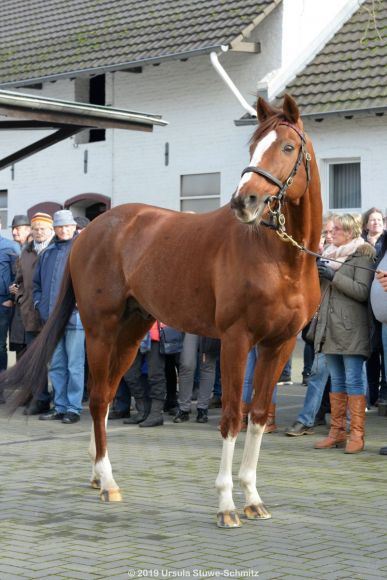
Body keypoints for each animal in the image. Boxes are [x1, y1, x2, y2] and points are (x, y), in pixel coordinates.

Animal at [2, 94, 322, 524]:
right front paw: (226, 504)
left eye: (287, 147)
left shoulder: (280, 344)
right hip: (101, 329)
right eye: (253, 145)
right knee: (99, 399)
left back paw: (97, 474)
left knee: (106, 396)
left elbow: (256, 415)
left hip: (131, 332)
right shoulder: (237, 340)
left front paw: (253, 497)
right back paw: (108, 481)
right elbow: (232, 416)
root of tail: (88, 233)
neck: (280, 257)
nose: (245, 201)